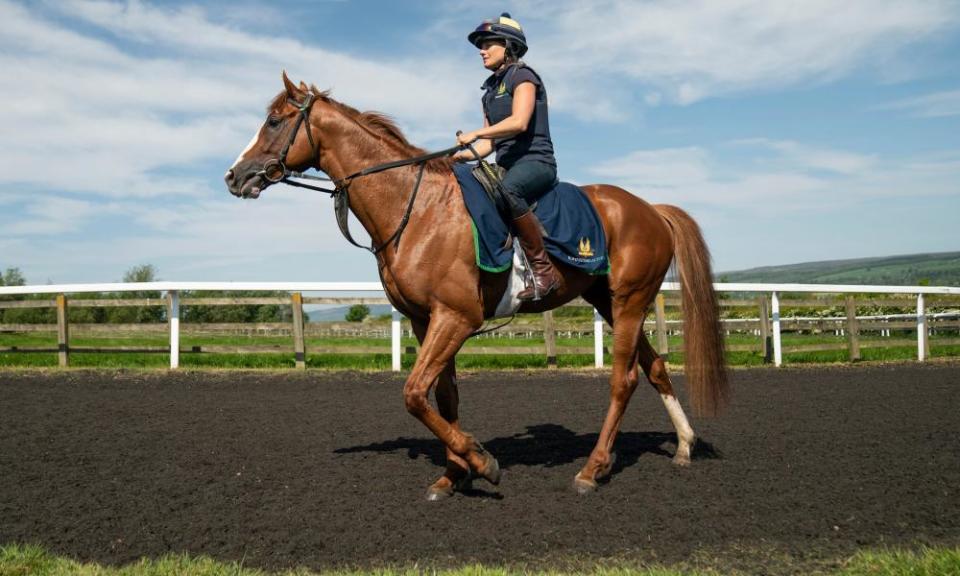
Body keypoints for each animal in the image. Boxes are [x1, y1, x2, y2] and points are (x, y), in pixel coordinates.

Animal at [225, 72, 732, 498]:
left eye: (273, 121)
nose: (234, 175)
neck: (415, 207)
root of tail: (652, 209)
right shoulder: (424, 319)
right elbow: (442, 396)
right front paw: (454, 474)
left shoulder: (457, 317)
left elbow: (414, 393)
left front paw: (481, 461)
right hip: (607, 301)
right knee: (655, 367)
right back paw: (684, 445)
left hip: (628, 302)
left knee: (623, 379)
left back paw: (593, 469)